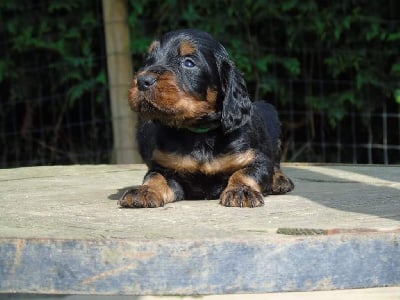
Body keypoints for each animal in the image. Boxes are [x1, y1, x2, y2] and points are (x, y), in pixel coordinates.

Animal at [119, 29, 294, 209]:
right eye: (149, 60)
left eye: (189, 63)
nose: (142, 81)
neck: (200, 133)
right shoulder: (164, 167)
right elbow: (155, 176)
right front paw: (144, 190)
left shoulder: (257, 159)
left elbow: (246, 172)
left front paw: (241, 190)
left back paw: (279, 179)